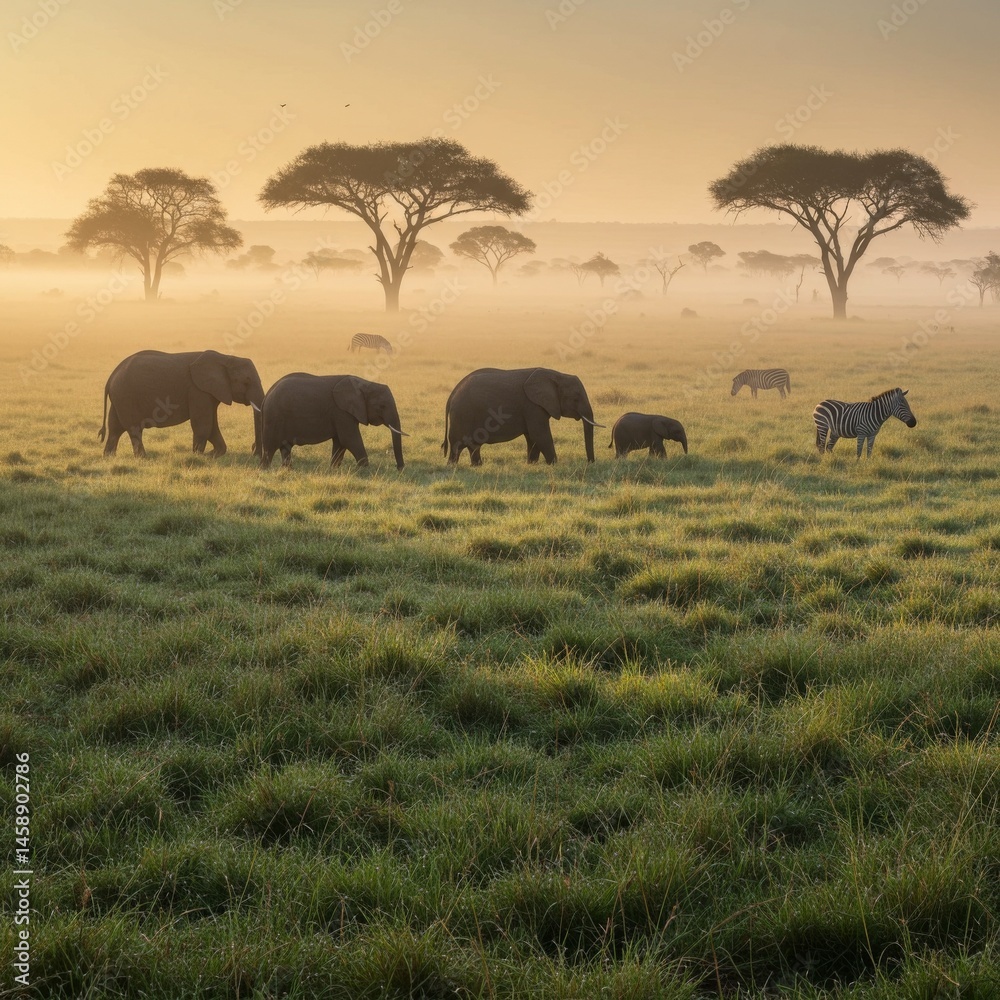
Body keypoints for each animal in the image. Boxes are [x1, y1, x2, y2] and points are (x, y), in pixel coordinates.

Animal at [99, 350, 264, 458]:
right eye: (246, 382)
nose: (253, 449)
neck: (226, 358)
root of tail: (111, 376)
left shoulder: (209, 393)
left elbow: (212, 426)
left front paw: (212, 454)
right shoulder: (197, 391)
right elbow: (203, 425)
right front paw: (198, 456)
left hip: (120, 398)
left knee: (115, 428)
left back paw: (109, 457)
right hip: (126, 396)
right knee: (134, 429)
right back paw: (142, 458)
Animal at [260, 373, 406, 470]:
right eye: (382, 406)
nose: (399, 468)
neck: (364, 383)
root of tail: (267, 396)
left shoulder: (343, 414)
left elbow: (340, 442)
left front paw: (333, 470)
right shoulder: (341, 412)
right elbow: (349, 439)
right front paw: (364, 470)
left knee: (285, 448)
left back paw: (288, 470)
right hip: (274, 418)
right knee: (270, 447)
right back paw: (265, 470)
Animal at [442, 367, 601, 466]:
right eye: (576, 398)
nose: (590, 463)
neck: (556, 375)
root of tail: (452, 394)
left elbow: (533, 437)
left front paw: (532, 464)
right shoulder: (532, 406)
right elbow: (540, 435)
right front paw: (554, 464)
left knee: (472, 446)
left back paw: (476, 466)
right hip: (462, 415)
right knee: (458, 444)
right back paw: (453, 466)